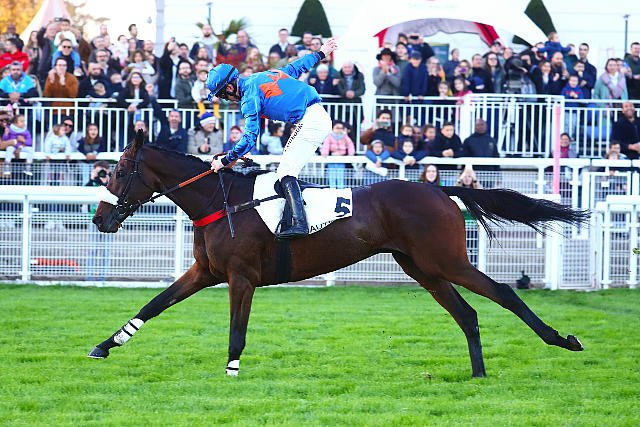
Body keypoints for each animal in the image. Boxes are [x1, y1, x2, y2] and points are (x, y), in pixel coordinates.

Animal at [88, 131, 588, 378]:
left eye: (118, 171)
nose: (99, 219)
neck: (221, 200)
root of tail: (439, 189)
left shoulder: (241, 276)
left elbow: (236, 329)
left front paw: (231, 370)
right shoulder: (204, 271)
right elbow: (153, 305)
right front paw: (104, 345)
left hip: (447, 261)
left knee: (504, 293)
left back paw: (563, 339)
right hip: (423, 268)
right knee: (467, 313)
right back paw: (479, 374)